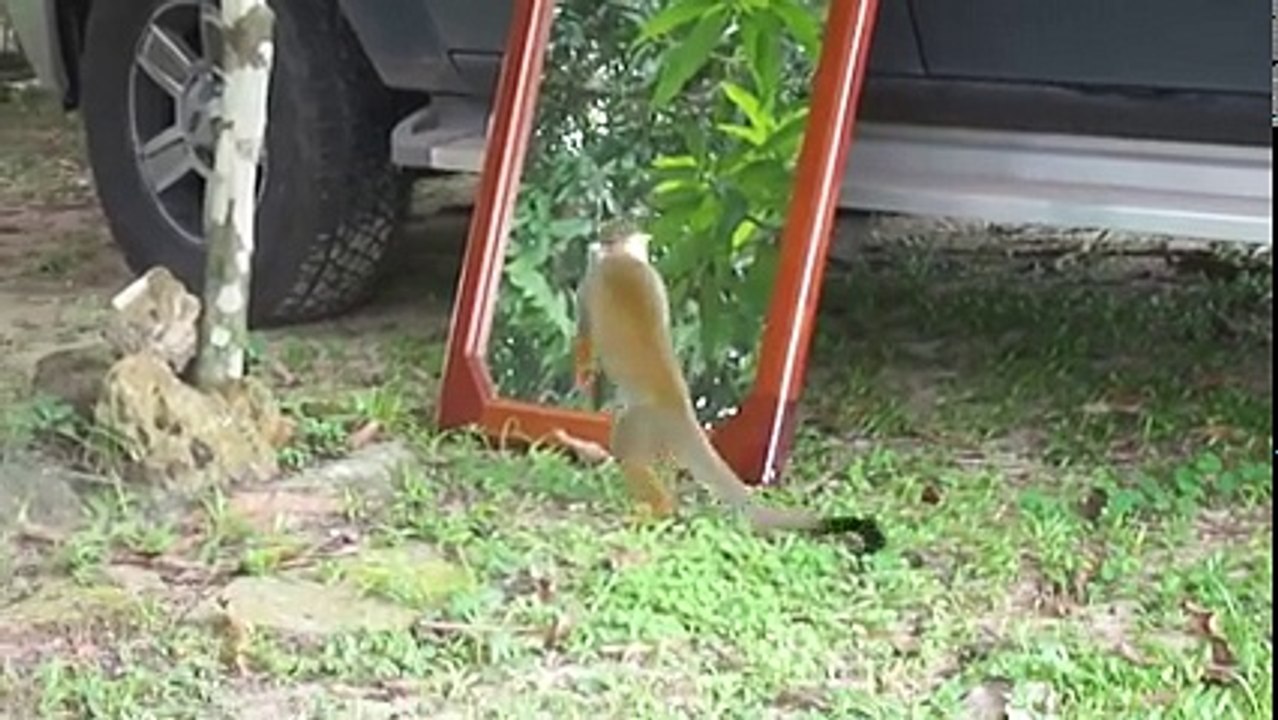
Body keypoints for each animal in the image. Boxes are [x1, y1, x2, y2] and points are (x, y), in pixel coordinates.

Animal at [573, 227, 883, 546]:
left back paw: (660, 509)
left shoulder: (591, 282)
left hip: (641, 423)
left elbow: (585, 333)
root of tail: (679, 406)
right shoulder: (653, 278)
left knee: (627, 454)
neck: (621, 257)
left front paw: (582, 372)